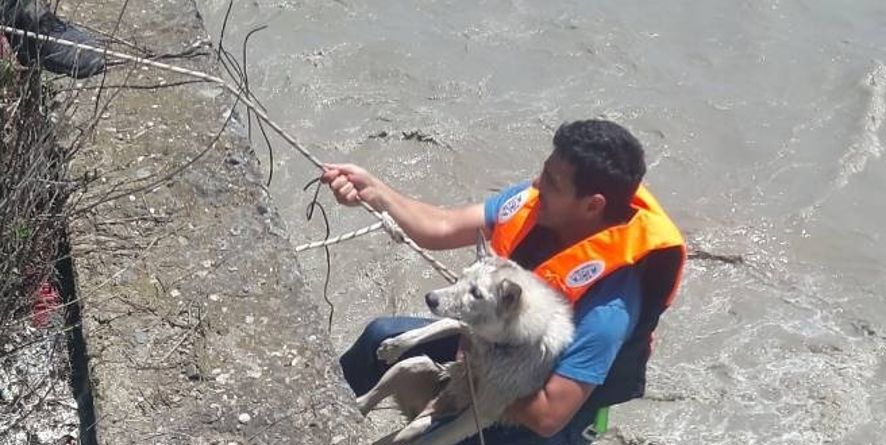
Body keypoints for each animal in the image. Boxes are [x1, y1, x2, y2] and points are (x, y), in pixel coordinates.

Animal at [358, 234, 580, 442]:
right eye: (460, 278)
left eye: (476, 293)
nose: (430, 298)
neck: (499, 343)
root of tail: (425, 407)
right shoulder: (465, 324)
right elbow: (430, 329)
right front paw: (394, 346)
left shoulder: (482, 412)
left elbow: (435, 438)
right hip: (409, 365)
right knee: (368, 400)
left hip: (421, 414)